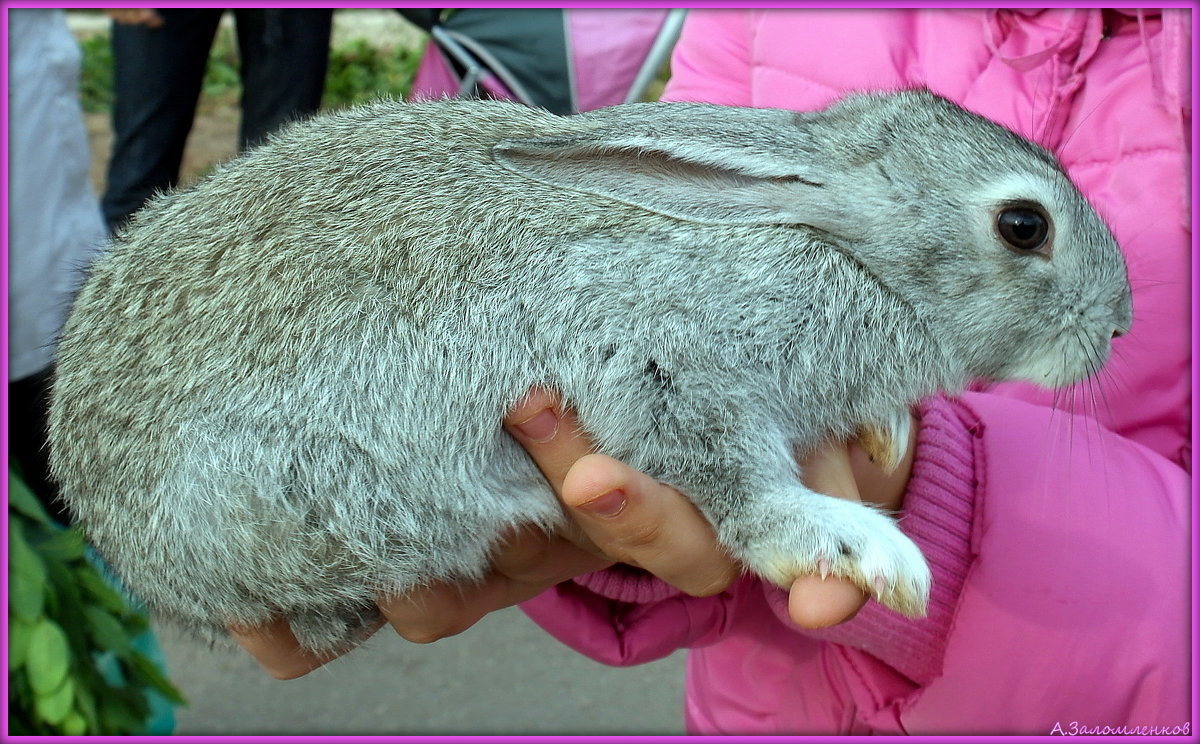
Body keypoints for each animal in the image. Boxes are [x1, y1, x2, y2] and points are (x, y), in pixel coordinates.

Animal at [49, 90, 1132, 652]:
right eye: (1023, 225)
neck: (838, 252)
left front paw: (889, 430)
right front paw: (850, 545)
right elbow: (734, 481)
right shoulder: (654, 355)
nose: (1120, 326)